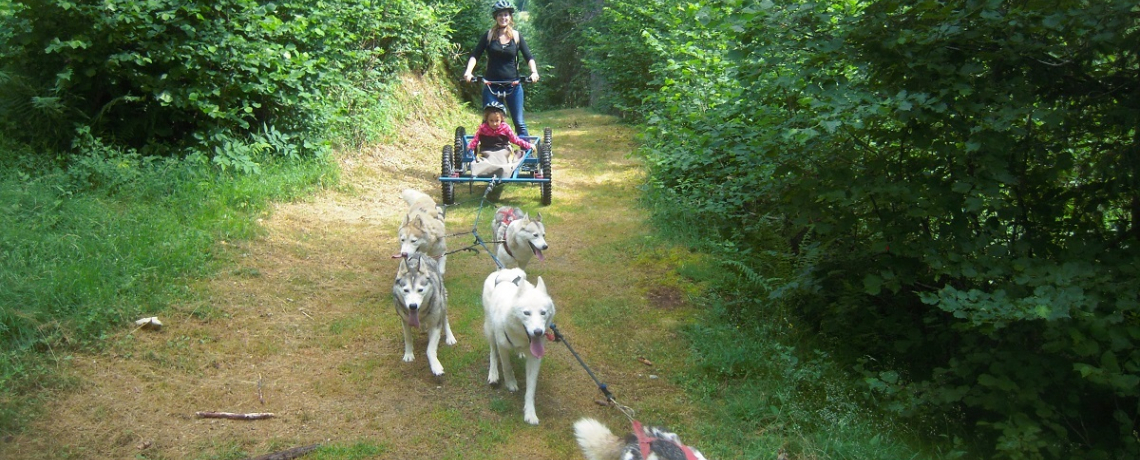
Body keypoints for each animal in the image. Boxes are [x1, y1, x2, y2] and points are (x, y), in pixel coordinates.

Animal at [478, 267, 554, 425]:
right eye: (526, 313)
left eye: (543, 313)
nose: (538, 332)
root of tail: (503, 272)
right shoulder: (502, 347)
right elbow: (507, 367)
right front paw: (510, 382)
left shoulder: (534, 359)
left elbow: (531, 388)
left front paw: (530, 412)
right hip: (490, 329)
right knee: (492, 352)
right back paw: (493, 373)